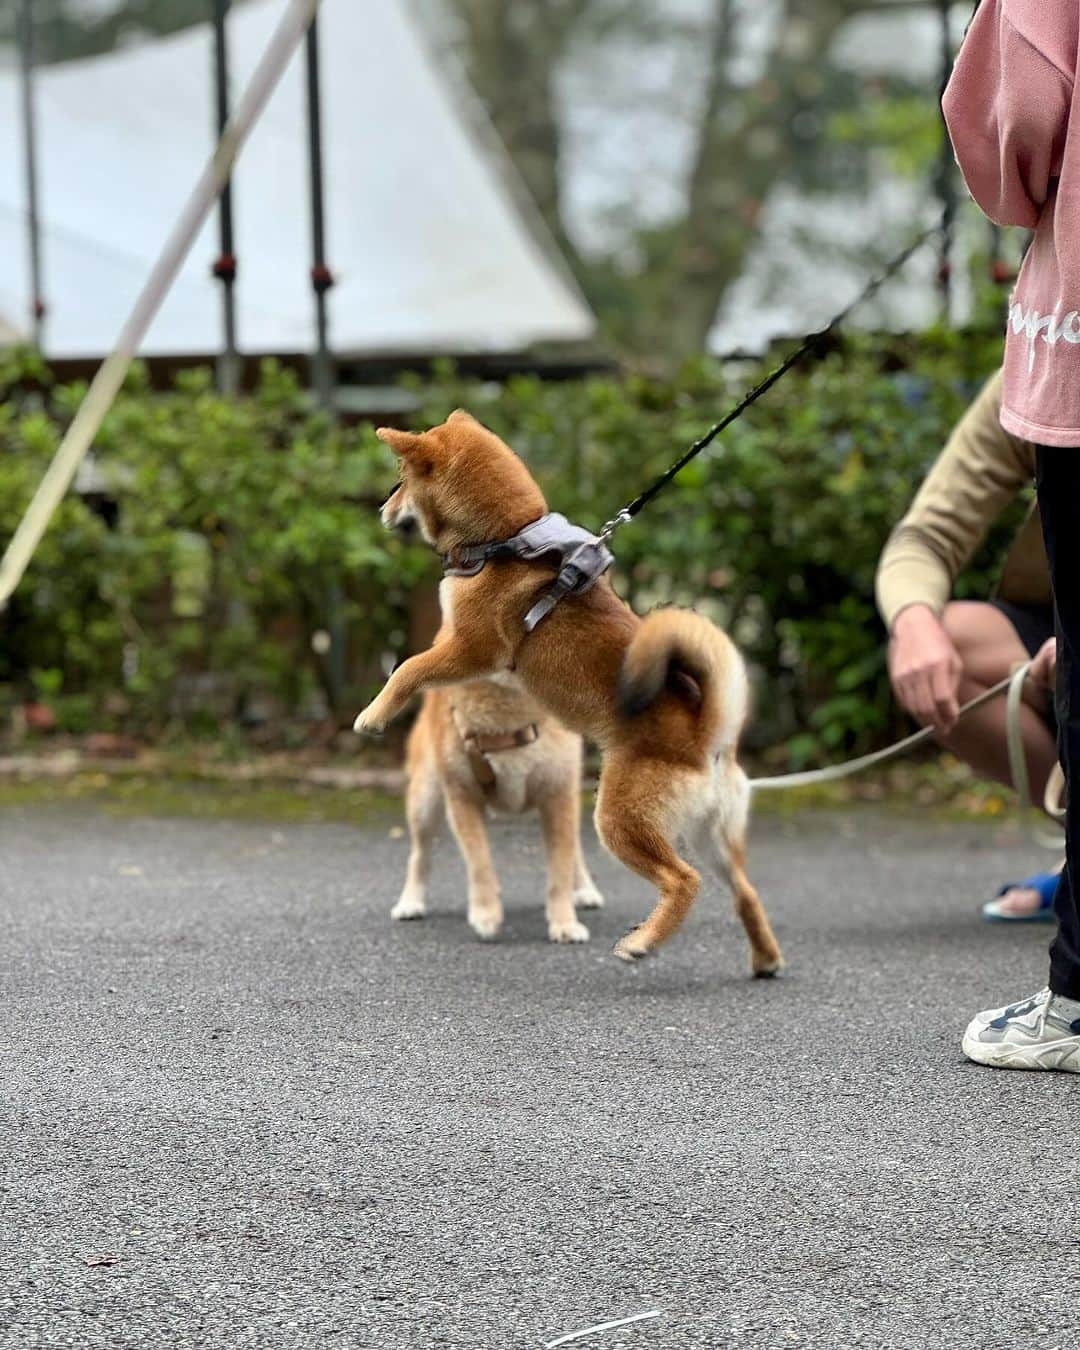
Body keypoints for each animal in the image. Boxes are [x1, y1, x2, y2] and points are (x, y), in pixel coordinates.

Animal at [353, 405, 783, 977]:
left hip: (619, 821)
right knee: (746, 893)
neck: (505, 540)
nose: (382, 506)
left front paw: (374, 714)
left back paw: (644, 940)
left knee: (683, 881)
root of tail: (705, 734)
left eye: (400, 480)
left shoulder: (469, 650)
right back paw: (764, 958)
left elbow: (406, 668)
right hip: (712, 838)